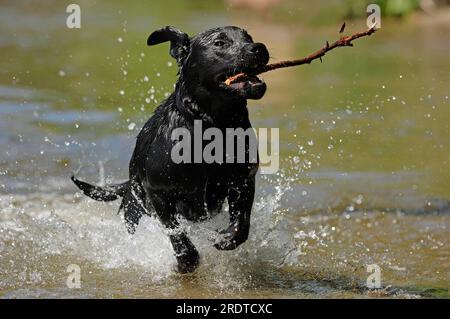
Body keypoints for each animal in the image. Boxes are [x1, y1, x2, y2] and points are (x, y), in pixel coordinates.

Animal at [72, 26, 268, 274]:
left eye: (248, 37)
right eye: (220, 43)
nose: (259, 47)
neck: (212, 126)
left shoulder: (243, 180)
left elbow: (242, 222)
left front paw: (226, 238)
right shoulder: (158, 192)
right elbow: (175, 232)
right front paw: (186, 260)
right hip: (134, 206)